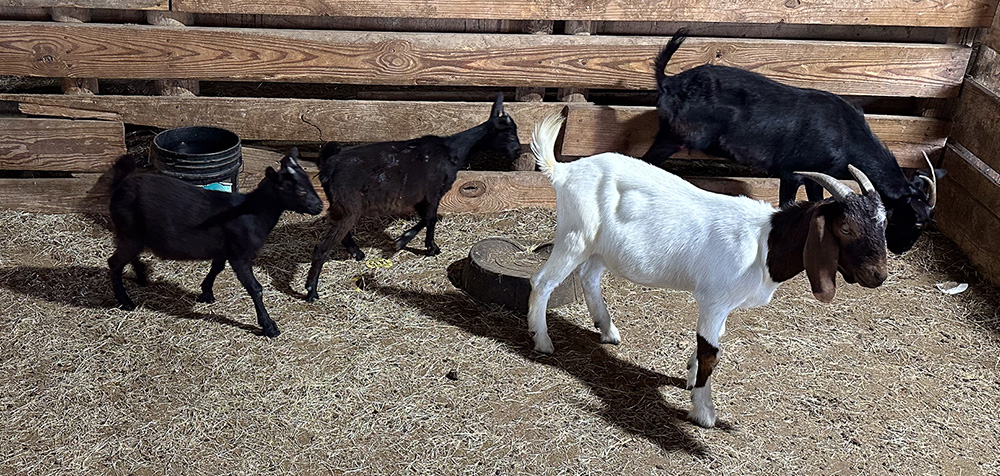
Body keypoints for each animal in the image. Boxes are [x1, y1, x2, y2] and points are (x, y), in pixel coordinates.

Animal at [108, 148, 324, 337]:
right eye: (300, 191)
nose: (320, 206)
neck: (253, 212)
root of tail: (118, 187)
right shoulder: (240, 255)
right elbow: (255, 288)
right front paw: (269, 327)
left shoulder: (223, 249)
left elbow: (217, 267)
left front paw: (206, 292)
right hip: (130, 233)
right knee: (115, 263)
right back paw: (126, 301)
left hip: (133, 235)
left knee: (129, 256)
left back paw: (142, 276)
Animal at [304, 93, 521, 302]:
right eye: (510, 134)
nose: (518, 151)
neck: (452, 151)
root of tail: (328, 165)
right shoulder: (433, 192)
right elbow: (431, 219)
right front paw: (420, 245)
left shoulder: (419, 198)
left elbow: (426, 219)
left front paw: (409, 241)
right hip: (349, 205)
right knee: (322, 247)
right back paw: (311, 291)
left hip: (343, 206)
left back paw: (357, 253)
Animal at [529, 115, 888, 428]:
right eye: (845, 227)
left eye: (884, 223)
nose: (879, 275)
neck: (765, 243)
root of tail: (564, 170)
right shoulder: (714, 300)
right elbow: (711, 353)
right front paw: (704, 412)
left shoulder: (721, 305)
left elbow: (713, 342)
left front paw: (689, 375)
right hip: (575, 235)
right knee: (543, 281)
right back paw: (543, 341)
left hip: (602, 248)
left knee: (590, 275)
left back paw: (607, 330)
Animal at [640, 30, 939, 255]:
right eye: (918, 222)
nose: (901, 248)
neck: (846, 134)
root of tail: (668, 81)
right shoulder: (792, 172)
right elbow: (787, 204)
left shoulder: (817, 176)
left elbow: (818, 200)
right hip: (673, 137)